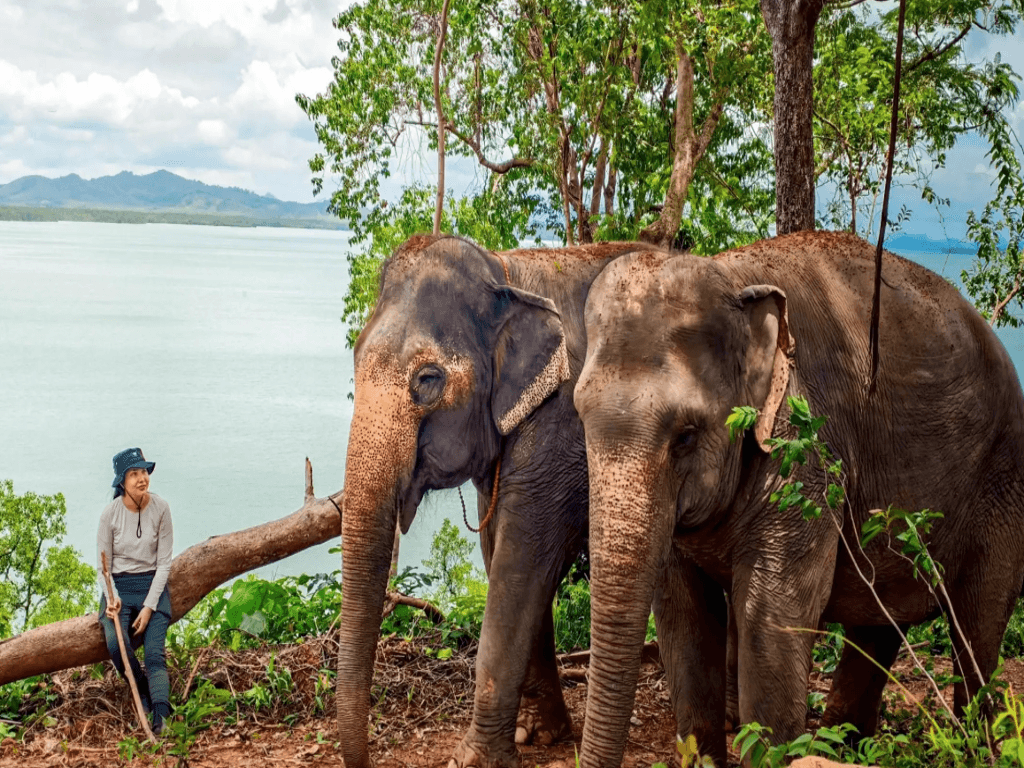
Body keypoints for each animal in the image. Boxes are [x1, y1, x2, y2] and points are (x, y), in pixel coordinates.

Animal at [337, 234, 668, 768]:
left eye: (427, 380)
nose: (369, 758)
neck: (509, 273)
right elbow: (501, 554)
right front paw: (537, 735)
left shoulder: (562, 424)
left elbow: (521, 559)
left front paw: (473, 759)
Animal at [571, 230, 1024, 767]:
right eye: (579, 415)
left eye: (686, 436)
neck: (730, 277)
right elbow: (683, 615)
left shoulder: (806, 448)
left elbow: (772, 615)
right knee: (882, 621)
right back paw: (848, 745)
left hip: (1003, 483)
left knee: (976, 628)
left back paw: (979, 747)